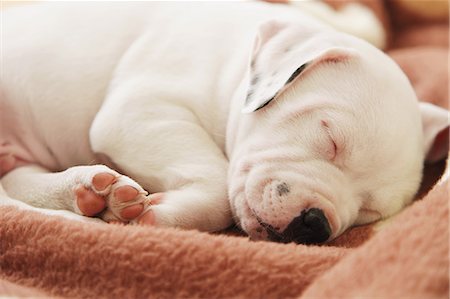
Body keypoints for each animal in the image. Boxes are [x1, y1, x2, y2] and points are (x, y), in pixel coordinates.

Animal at [0, 1, 448, 244]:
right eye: (330, 139)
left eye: (369, 211)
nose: (315, 224)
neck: (236, 60)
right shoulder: (141, 111)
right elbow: (217, 187)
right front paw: (162, 215)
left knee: (16, 184)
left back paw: (89, 192)